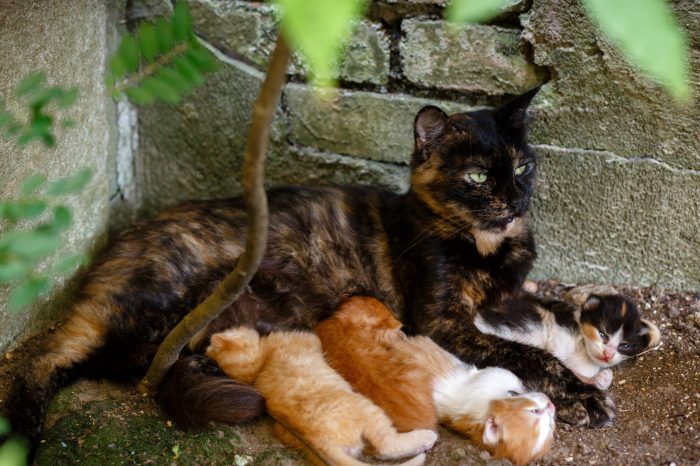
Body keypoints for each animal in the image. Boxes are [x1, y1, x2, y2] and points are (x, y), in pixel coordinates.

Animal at [205, 326, 438, 466]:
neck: (263, 364)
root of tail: (321, 443)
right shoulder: (307, 339)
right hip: (368, 408)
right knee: (386, 446)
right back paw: (426, 438)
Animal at [474, 292, 660, 390]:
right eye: (602, 334)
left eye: (625, 346)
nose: (607, 354)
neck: (584, 347)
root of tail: (478, 319)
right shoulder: (559, 328)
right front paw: (598, 379)